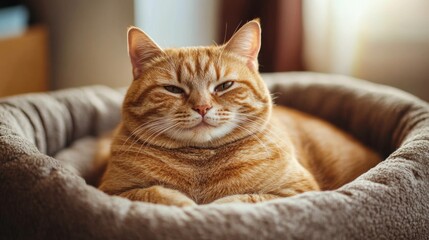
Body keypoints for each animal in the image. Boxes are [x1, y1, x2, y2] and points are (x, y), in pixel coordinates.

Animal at [98, 19, 380, 206]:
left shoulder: (298, 192)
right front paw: (187, 205)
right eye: (173, 89)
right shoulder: (110, 192)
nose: (202, 107)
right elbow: (154, 193)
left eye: (224, 86)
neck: (200, 161)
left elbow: (237, 201)